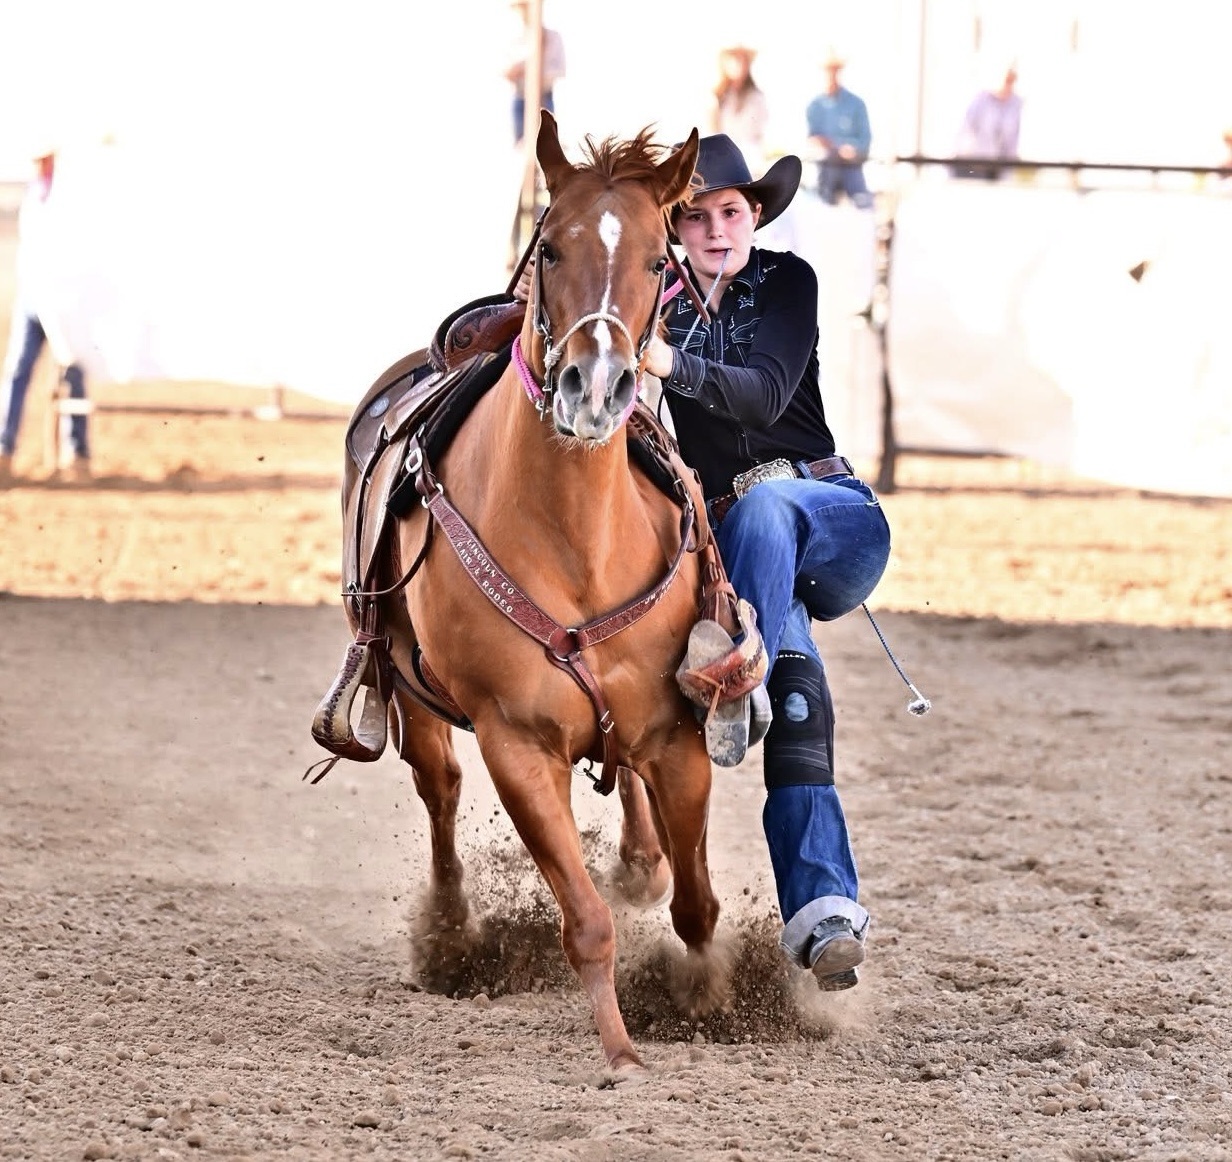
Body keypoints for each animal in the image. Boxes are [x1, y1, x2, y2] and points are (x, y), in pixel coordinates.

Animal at [312, 112, 766, 1072]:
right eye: (551, 247)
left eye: (659, 262)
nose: (596, 386)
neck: (578, 539)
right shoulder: (515, 743)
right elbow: (586, 920)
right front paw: (623, 1053)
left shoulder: (677, 734)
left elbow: (696, 900)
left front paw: (706, 999)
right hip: (410, 693)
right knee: (439, 791)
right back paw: (452, 939)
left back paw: (638, 860)